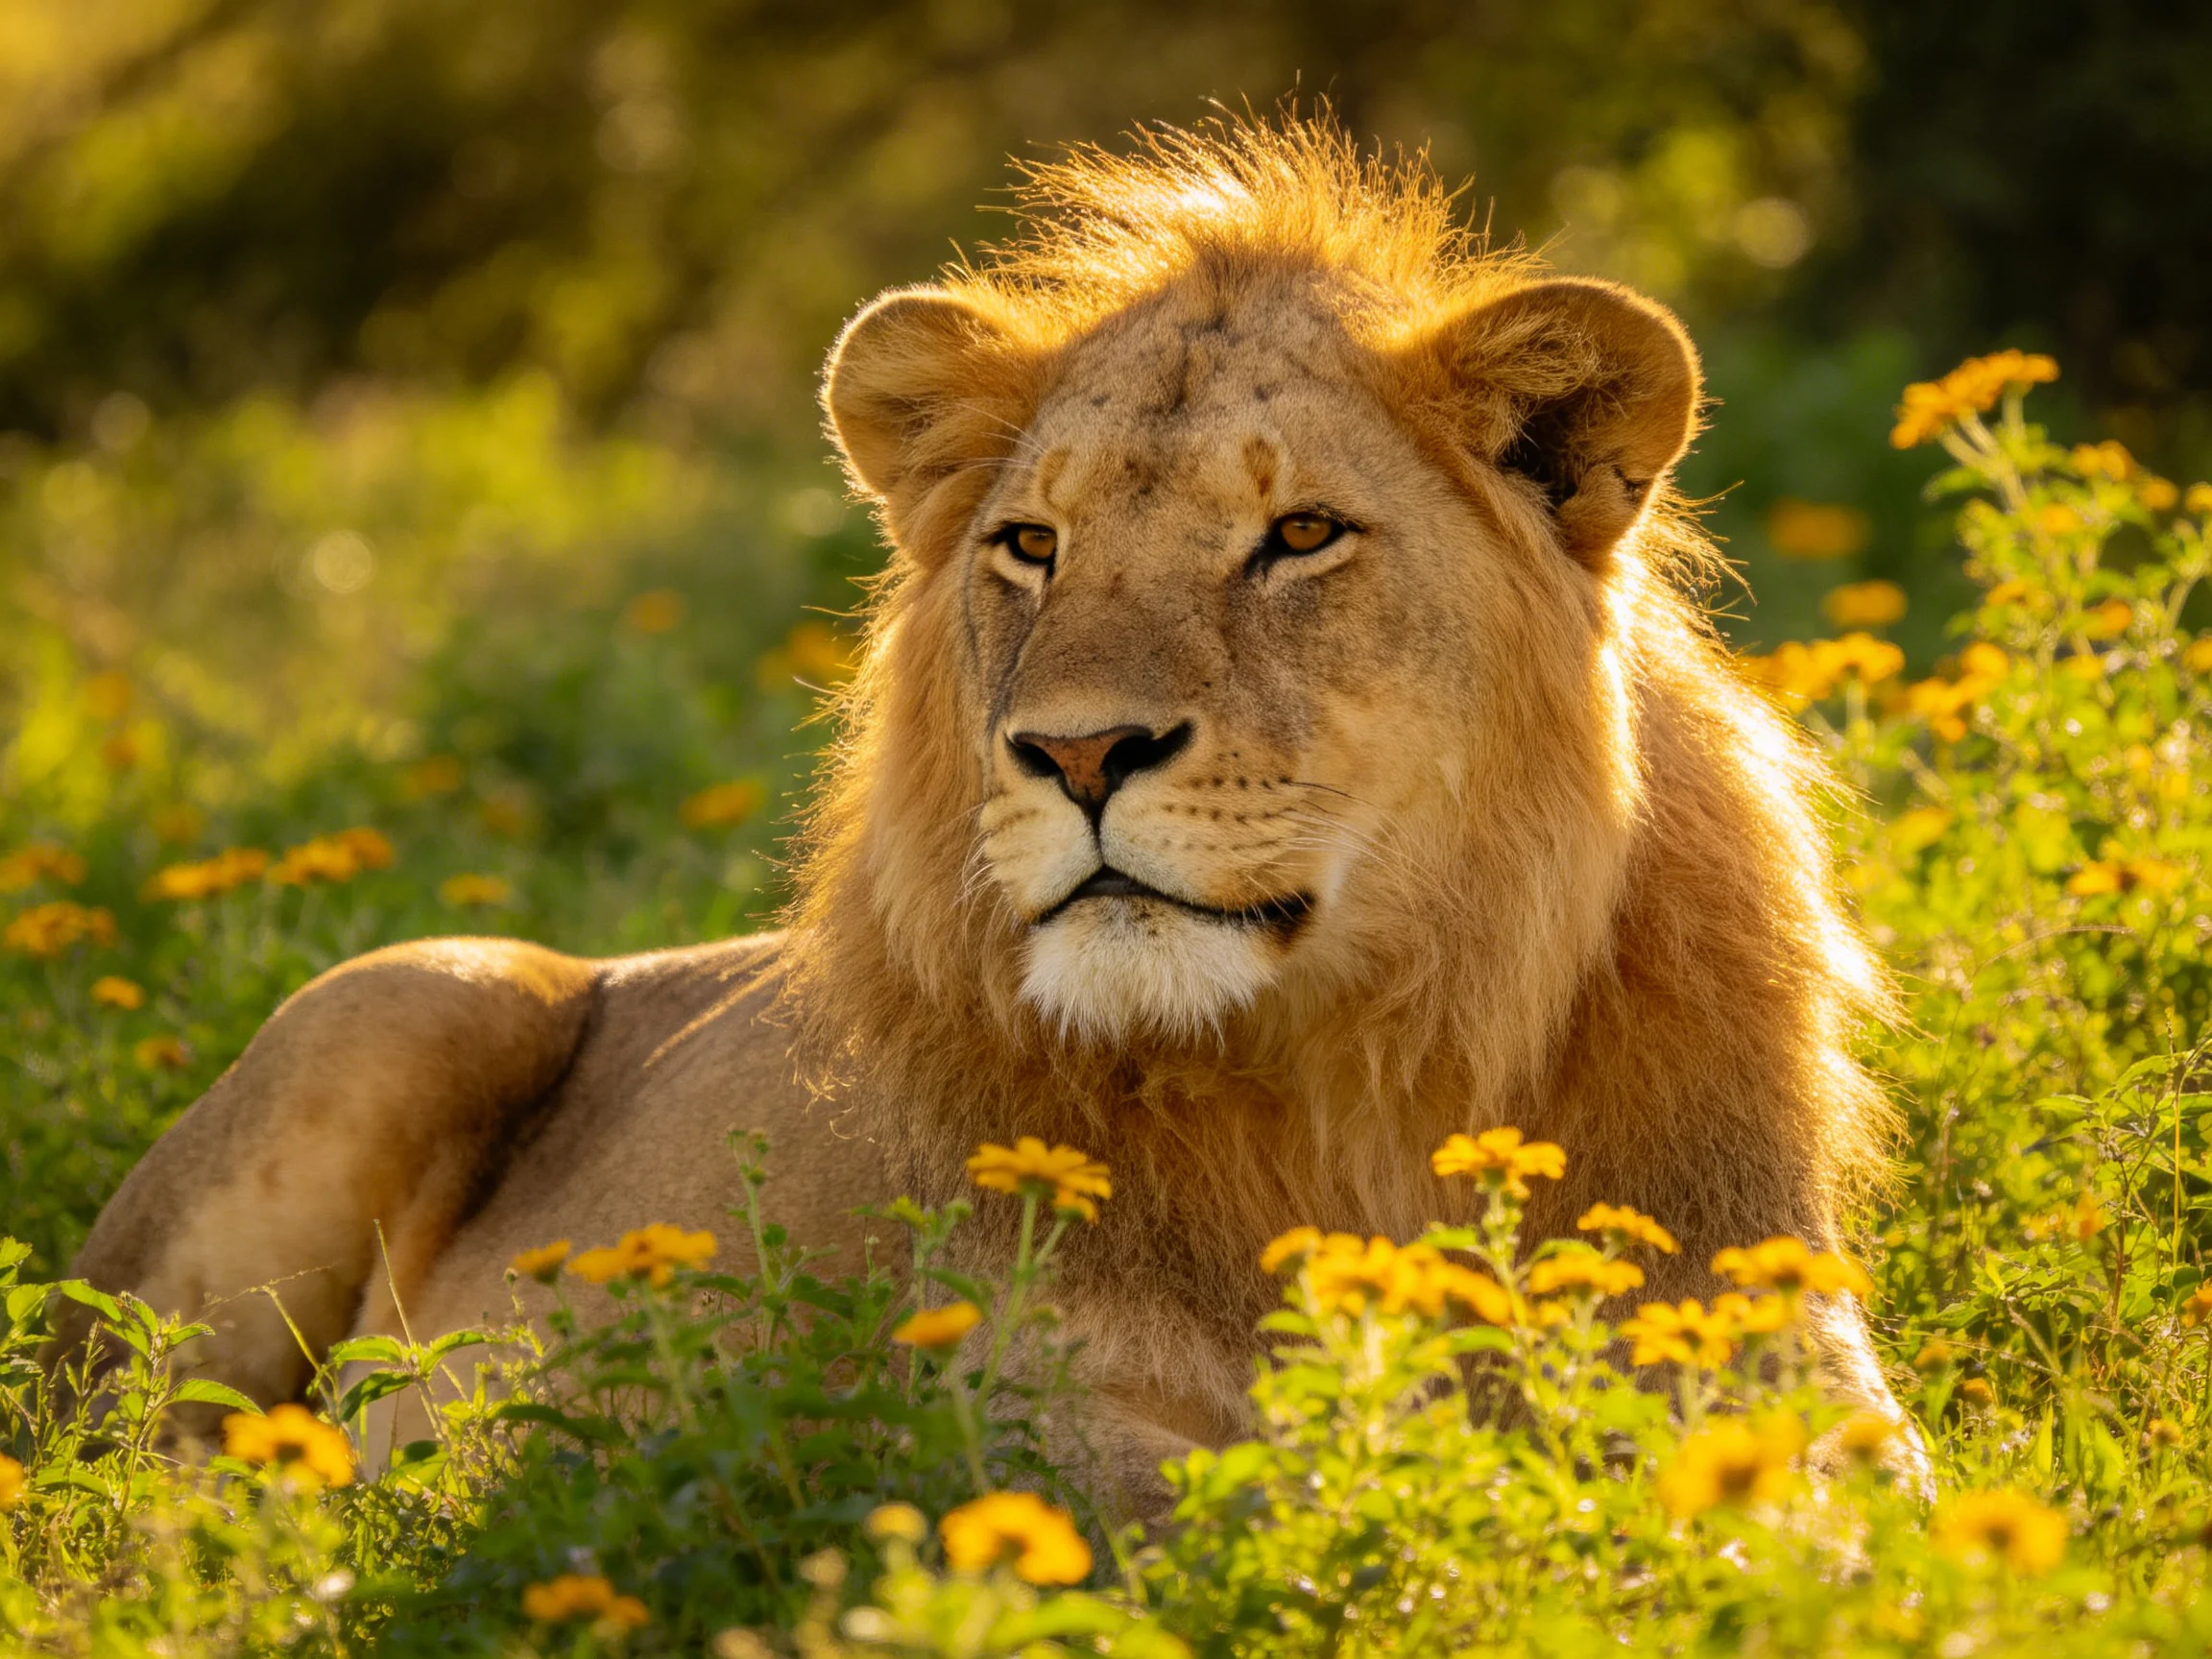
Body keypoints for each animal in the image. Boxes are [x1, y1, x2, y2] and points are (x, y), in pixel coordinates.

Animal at [51, 118, 1919, 1512]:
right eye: (1032, 545)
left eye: (1301, 535)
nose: (1078, 754)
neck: (1366, 1079)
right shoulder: (956, 1395)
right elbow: (1250, 1491)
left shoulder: (1778, 1333)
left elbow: (1858, 1496)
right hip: (408, 1000)